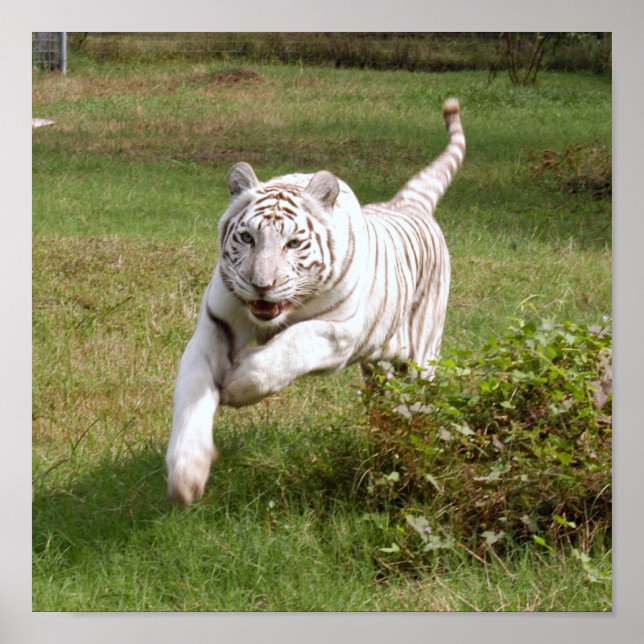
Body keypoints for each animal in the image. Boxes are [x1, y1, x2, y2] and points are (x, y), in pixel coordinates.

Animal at [166, 98, 465, 505]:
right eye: (246, 238)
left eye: (293, 243)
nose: (261, 285)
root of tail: (407, 204)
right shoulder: (216, 326)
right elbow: (192, 393)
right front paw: (187, 473)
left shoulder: (340, 333)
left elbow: (290, 345)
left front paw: (238, 384)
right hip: (378, 371)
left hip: (422, 358)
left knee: (417, 402)